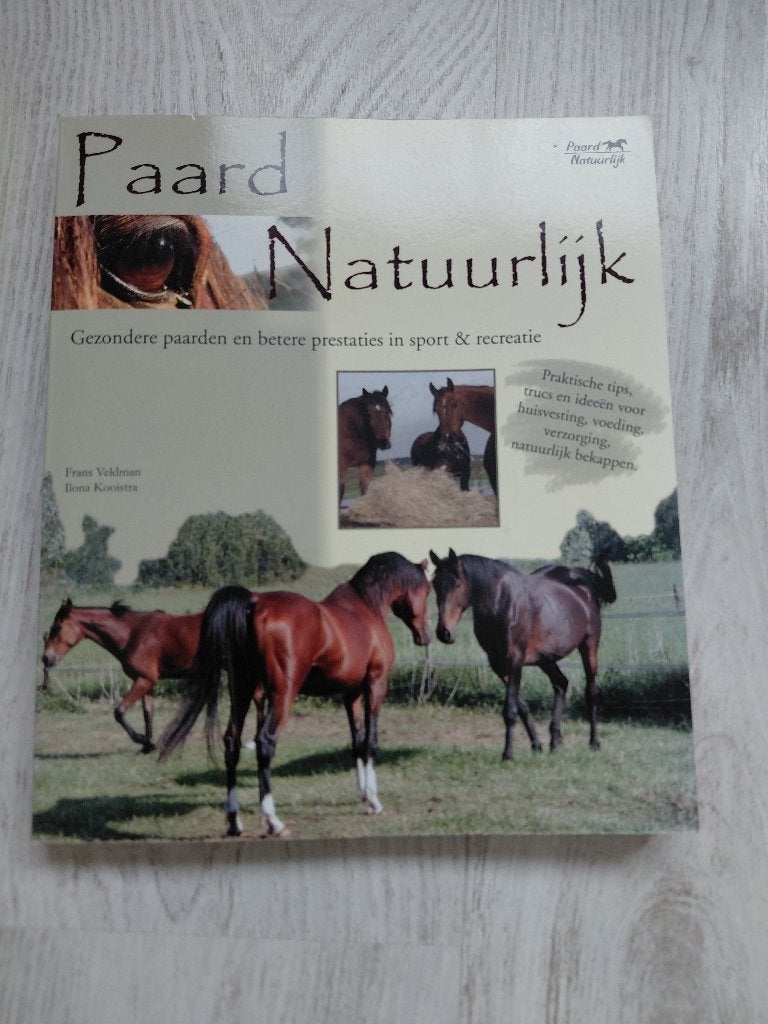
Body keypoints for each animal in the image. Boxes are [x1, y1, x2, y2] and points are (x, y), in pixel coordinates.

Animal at [42, 598, 203, 751]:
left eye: (57, 628)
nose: (46, 658)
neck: (133, 633)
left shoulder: (144, 680)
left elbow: (119, 712)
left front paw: (142, 739)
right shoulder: (147, 682)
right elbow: (148, 714)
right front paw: (148, 746)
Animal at [158, 552, 431, 837]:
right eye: (427, 590)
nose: (426, 635)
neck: (366, 608)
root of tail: (253, 602)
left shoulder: (351, 693)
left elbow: (357, 741)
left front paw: (365, 797)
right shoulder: (375, 685)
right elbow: (371, 741)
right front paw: (375, 801)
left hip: (242, 690)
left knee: (232, 743)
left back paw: (234, 821)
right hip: (282, 695)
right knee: (265, 741)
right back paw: (273, 821)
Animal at [429, 549, 616, 759]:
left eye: (458, 584)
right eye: (435, 584)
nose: (444, 632)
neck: (502, 602)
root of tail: (582, 579)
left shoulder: (514, 661)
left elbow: (510, 710)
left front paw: (508, 754)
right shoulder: (498, 664)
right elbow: (522, 707)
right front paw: (536, 744)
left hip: (589, 646)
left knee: (591, 692)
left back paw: (594, 742)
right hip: (546, 659)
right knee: (561, 683)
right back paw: (555, 741)